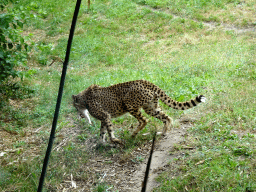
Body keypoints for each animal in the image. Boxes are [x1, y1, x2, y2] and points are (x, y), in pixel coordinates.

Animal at [72, 79, 206, 144]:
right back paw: (163, 132)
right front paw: (100, 144)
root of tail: (144, 81)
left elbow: (109, 131)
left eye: (75, 106)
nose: (79, 114)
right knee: (166, 117)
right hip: (151, 107)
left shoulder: (105, 116)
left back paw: (133, 134)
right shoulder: (104, 118)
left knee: (144, 121)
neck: (84, 99)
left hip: (130, 105)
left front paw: (115, 141)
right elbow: (102, 132)